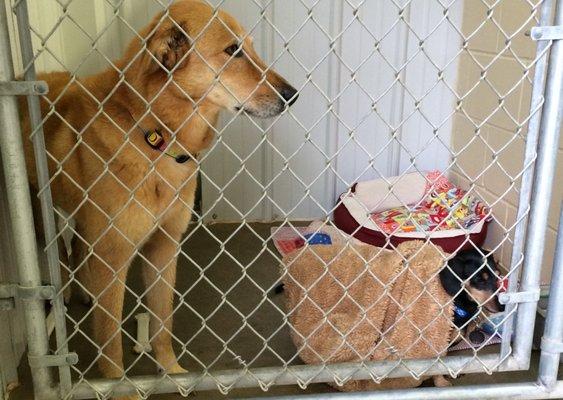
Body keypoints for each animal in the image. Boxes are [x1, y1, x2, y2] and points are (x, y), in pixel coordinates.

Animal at [19, 0, 298, 394]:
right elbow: (110, 344)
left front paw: (172, 372)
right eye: (233, 50)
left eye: (250, 48)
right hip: (40, 215)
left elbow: (162, 324)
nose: (293, 95)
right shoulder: (113, 257)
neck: (155, 136)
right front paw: (119, 388)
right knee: (61, 251)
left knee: (77, 247)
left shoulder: (164, 247)